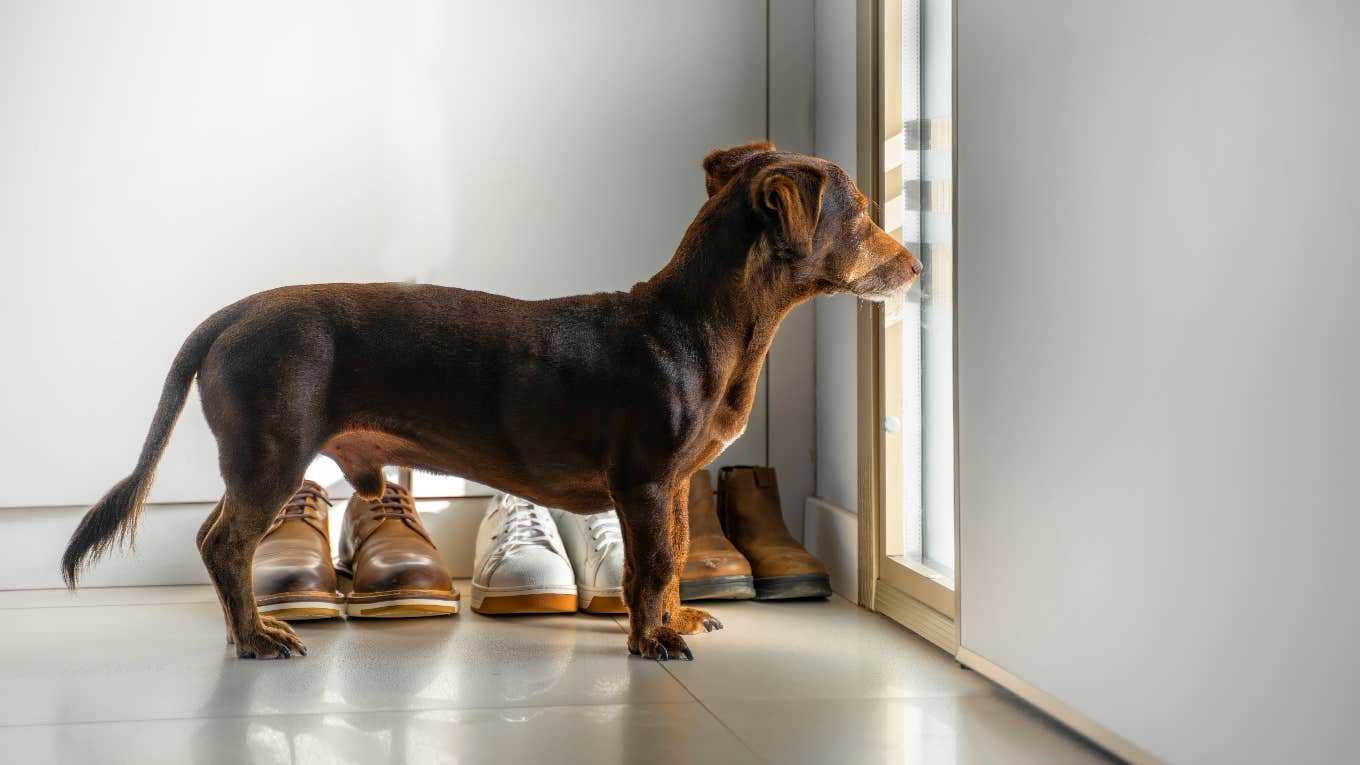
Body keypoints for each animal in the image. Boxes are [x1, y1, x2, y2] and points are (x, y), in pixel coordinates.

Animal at [58, 141, 919, 656]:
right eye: (863, 214)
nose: (915, 264)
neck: (697, 320)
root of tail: (229, 316)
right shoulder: (643, 480)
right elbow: (647, 566)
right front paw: (650, 639)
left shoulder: (675, 484)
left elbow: (674, 558)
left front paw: (675, 616)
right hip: (271, 451)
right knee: (223, 545)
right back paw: (254, 636)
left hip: (257, 457)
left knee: (219, 539)